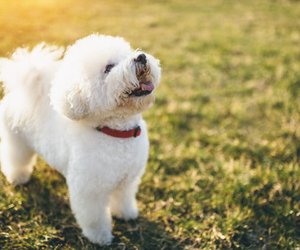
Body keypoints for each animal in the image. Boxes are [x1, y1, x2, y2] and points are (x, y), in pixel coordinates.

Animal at [0, 34, 162, 245]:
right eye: (109, 68)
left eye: (128, 53)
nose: (141, 57)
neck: (115, 132)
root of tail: (18, 93)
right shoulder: (89, 190)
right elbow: (95, 217)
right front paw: (100, 237)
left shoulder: (127, 180)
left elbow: (123, 198)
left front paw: (126, 214)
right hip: (16, 141)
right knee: (15, 159)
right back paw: (18, 177)